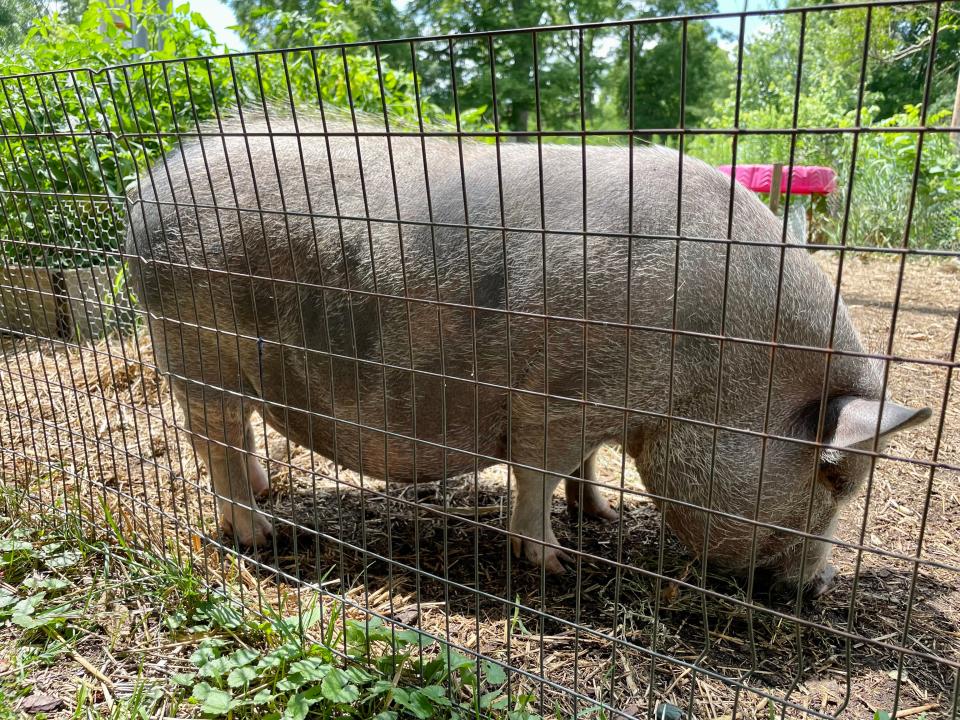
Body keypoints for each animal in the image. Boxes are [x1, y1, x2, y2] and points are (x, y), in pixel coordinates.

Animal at [125, 108, 928, 592]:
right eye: (835, 476)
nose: (820, 586)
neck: (718, 360)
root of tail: (147, 184)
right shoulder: (556, 402)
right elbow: (537, 476)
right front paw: (554, 564)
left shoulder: (594, 407)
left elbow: (584, 466)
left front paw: (600, 518)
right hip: (192, 346)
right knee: (215, 443)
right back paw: (264, 537)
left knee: (237, 439)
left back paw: (268, 496)